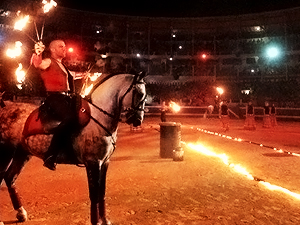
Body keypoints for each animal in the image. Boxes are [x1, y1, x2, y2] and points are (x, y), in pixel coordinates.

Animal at [0, 73, 146, 224]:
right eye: (139, 93)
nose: (138, 121)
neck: (98, 119)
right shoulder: (93, 163)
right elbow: (94, 194)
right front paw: (95, 221)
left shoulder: (105, 162)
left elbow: (102, 192)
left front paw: (105, 220)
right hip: (6, 152)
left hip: (22, 153)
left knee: (10, 177)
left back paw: (21, 212)